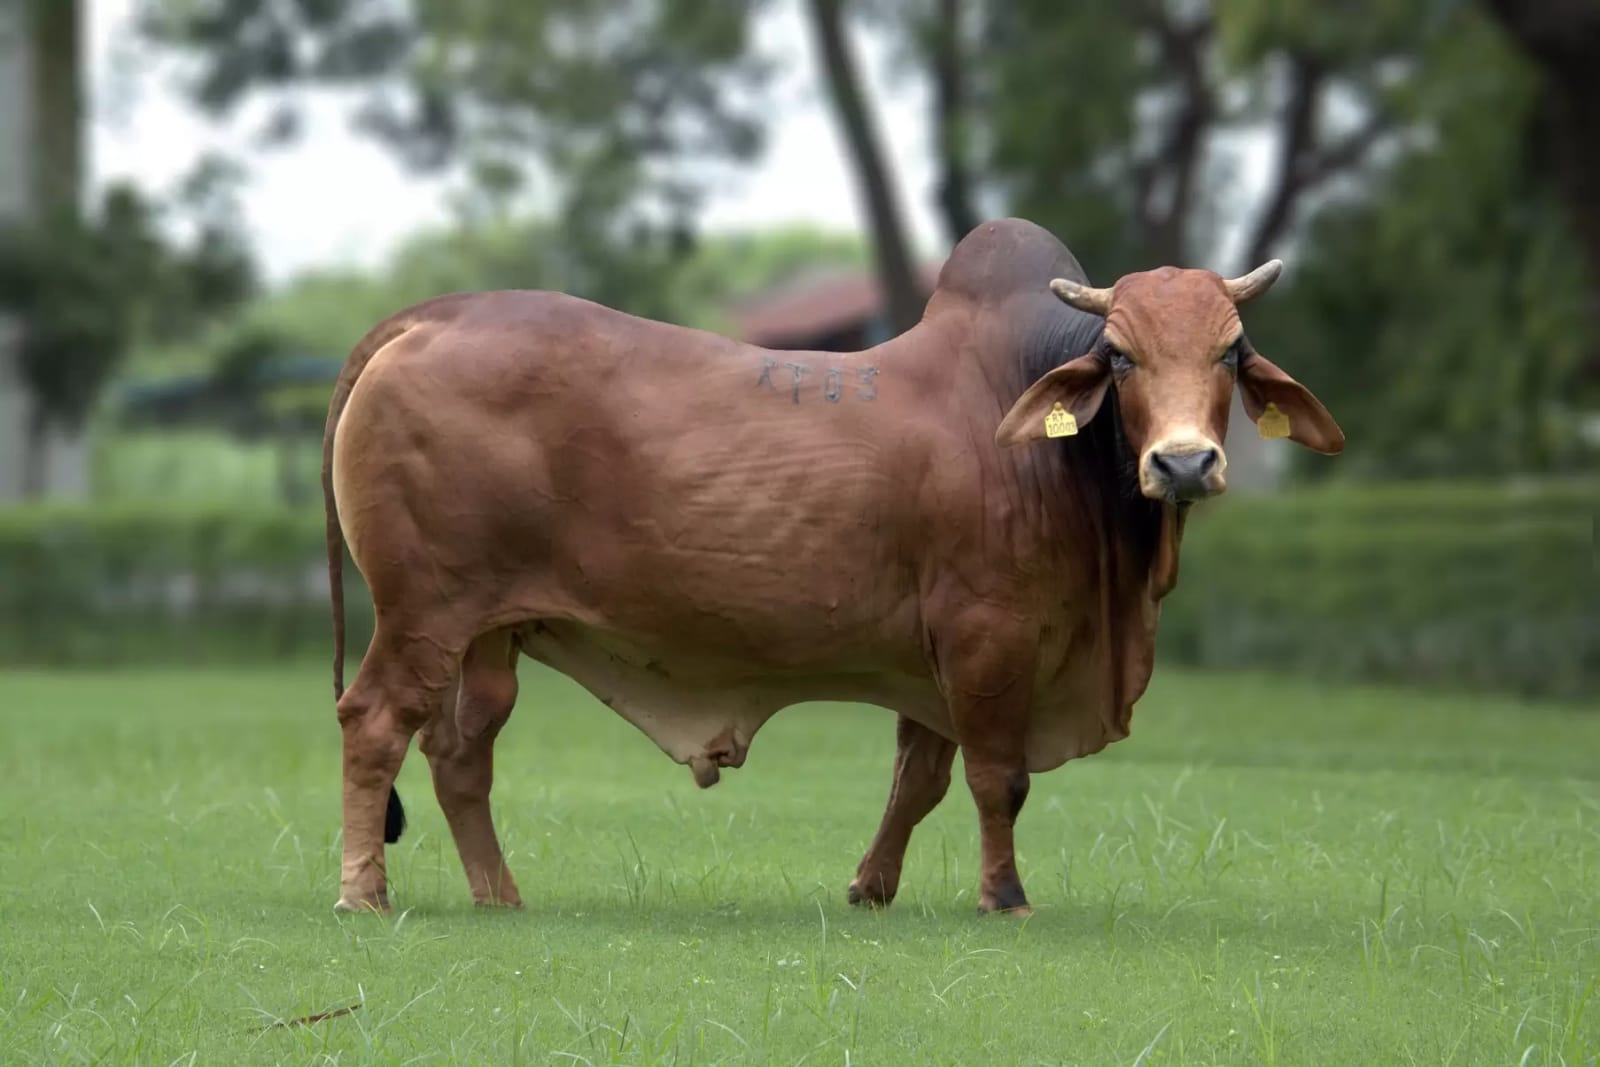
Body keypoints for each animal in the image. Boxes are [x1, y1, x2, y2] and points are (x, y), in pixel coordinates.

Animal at [322, 218, 1342, 915]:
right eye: (1122, 356)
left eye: (1231, 352)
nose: (1183, 463)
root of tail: (431, 316)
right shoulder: (988, 635)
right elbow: (997, 778)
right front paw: (1003, 896)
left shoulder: (935, 658)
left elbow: (919, 780)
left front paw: (871, 887)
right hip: (420, 613)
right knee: (375, 722)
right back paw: (364, 891)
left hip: (488, 633)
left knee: (461, 753)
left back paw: (500, 894)